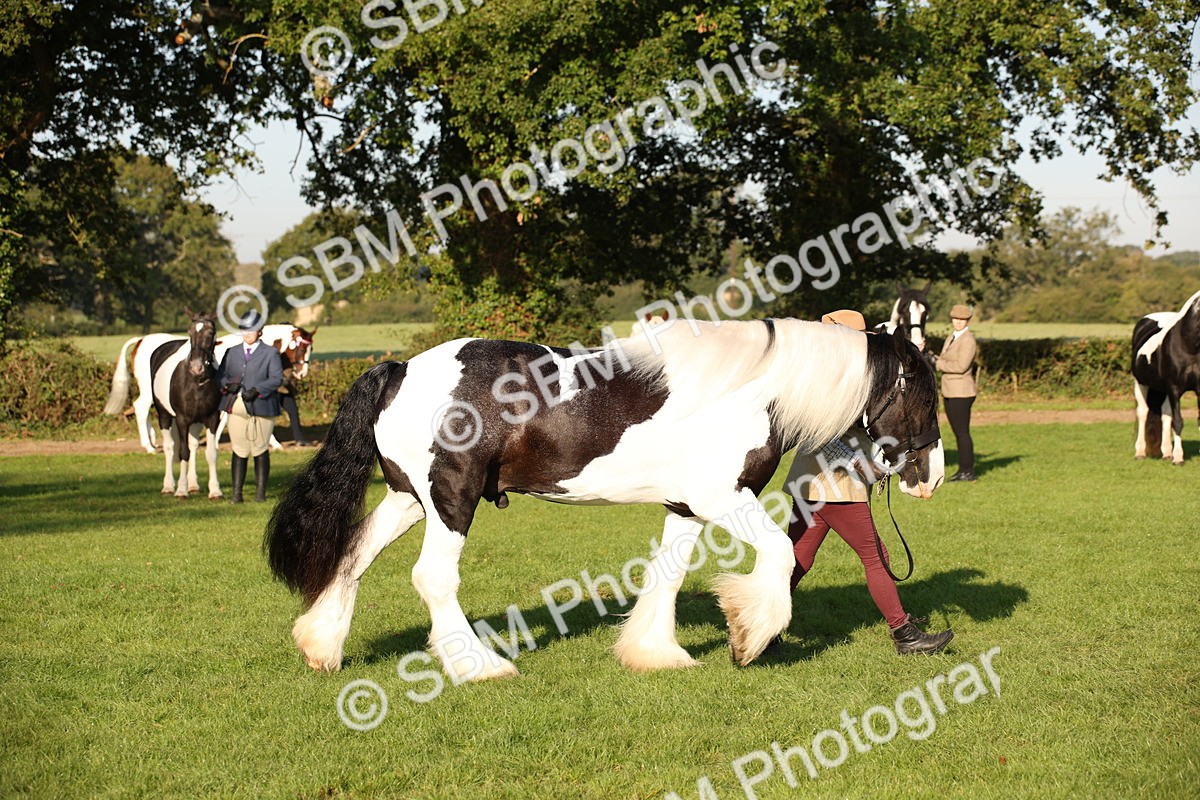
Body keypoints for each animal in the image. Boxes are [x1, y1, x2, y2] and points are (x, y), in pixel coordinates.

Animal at [104, 324, 316, 457]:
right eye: (300, 348)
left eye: (310, 350)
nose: (302, 372)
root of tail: (141, 340)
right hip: (150, 390)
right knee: (140, 408)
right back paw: (149, 446)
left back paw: (153, 440)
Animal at [264, 320, 945, 680]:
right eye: (925, 392)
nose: (930, 475)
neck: (748, 390)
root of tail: (401, 369)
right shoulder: (723, 499)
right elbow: (778, 555)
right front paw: (749, 636)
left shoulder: (687, 508)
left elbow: (668, 576)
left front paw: (656, 652)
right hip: (452, 500)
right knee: (432, 578)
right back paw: (480, 666)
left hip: (412, 498)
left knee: (354, 555)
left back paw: (321, 647)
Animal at [1132, 289, 1200, 464]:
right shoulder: (1174, 388)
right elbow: (1178, 421)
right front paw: (1178, 458)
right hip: (1141, 383)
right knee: (1143, 412)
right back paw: (1140, 452)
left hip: (1162, 389)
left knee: (1165, 414)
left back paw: (1167, 452)